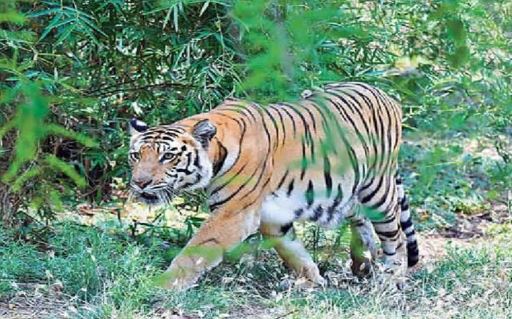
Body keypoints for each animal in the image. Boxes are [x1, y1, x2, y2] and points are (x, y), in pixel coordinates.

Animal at [129, 82, 420, 290]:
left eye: (168, 156)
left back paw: (391, 279)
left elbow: (195, 250)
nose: (139, 182)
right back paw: (363, 264)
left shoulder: (233, 214)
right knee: (361, 220)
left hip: (378, 190)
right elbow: (292, 250)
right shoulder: (273, 216)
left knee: (396, 236)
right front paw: (312, 280)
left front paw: (162, 285)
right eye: (136, 155)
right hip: (348, 190)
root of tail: (387, 95)